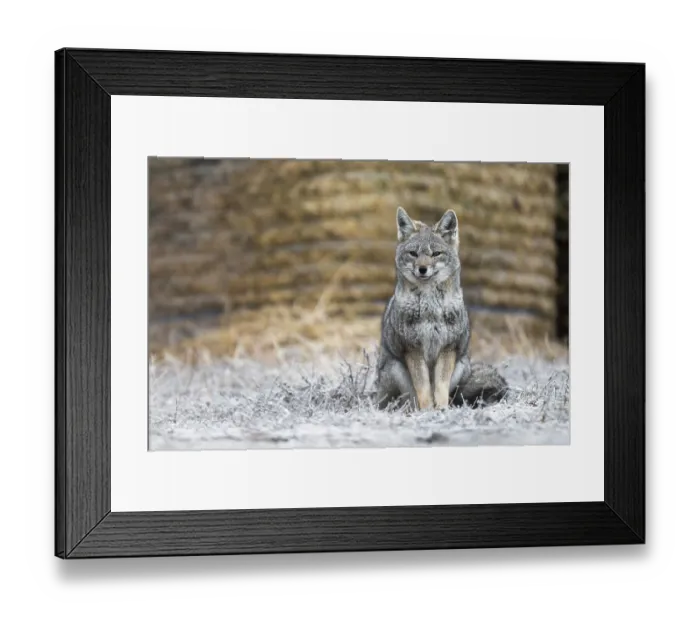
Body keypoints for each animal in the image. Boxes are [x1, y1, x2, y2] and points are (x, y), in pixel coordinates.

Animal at [375, 206, 507, 411]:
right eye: (413, 253)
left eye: (436, 254)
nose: (422, 269)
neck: (429, 308)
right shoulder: (413, 348)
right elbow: (423, 387)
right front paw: (428, 410)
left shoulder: (448, 348)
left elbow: (440, 386)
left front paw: (442, 409)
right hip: (396, 369)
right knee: (408, 400)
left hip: (461, 366)